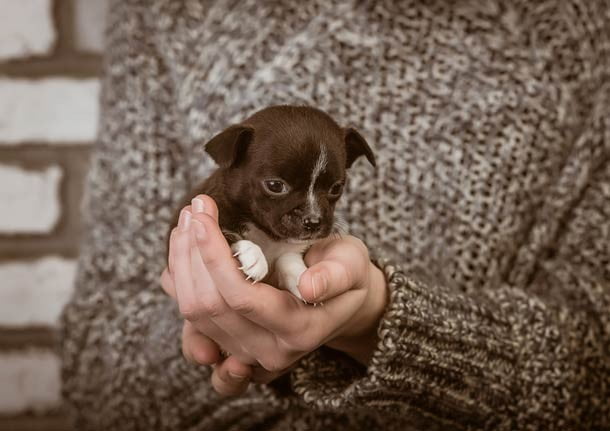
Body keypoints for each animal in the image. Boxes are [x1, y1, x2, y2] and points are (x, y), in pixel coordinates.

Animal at [169, 105, 372, 300]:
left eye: (336, 188)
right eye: (275, 186)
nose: (313, 221)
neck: (267, 234)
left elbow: (288, 257)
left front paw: (299, 276)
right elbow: (228, 232)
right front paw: (253, 254)